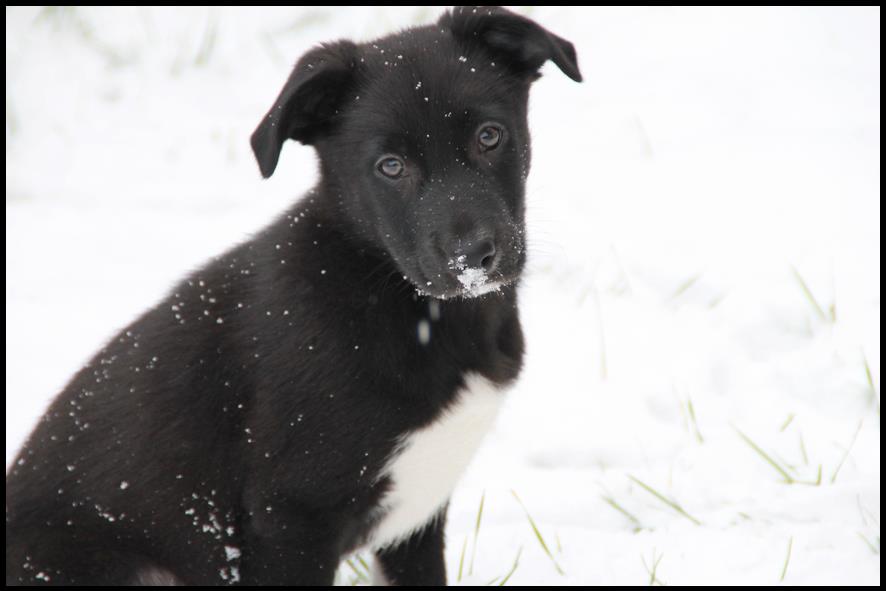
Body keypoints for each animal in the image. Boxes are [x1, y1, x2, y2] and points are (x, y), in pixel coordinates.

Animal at [5, 5, 584, 588]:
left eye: (490, 136)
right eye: (390, 166)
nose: (473, 258)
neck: (392, 298)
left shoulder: (414, 524)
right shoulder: (293, 518)